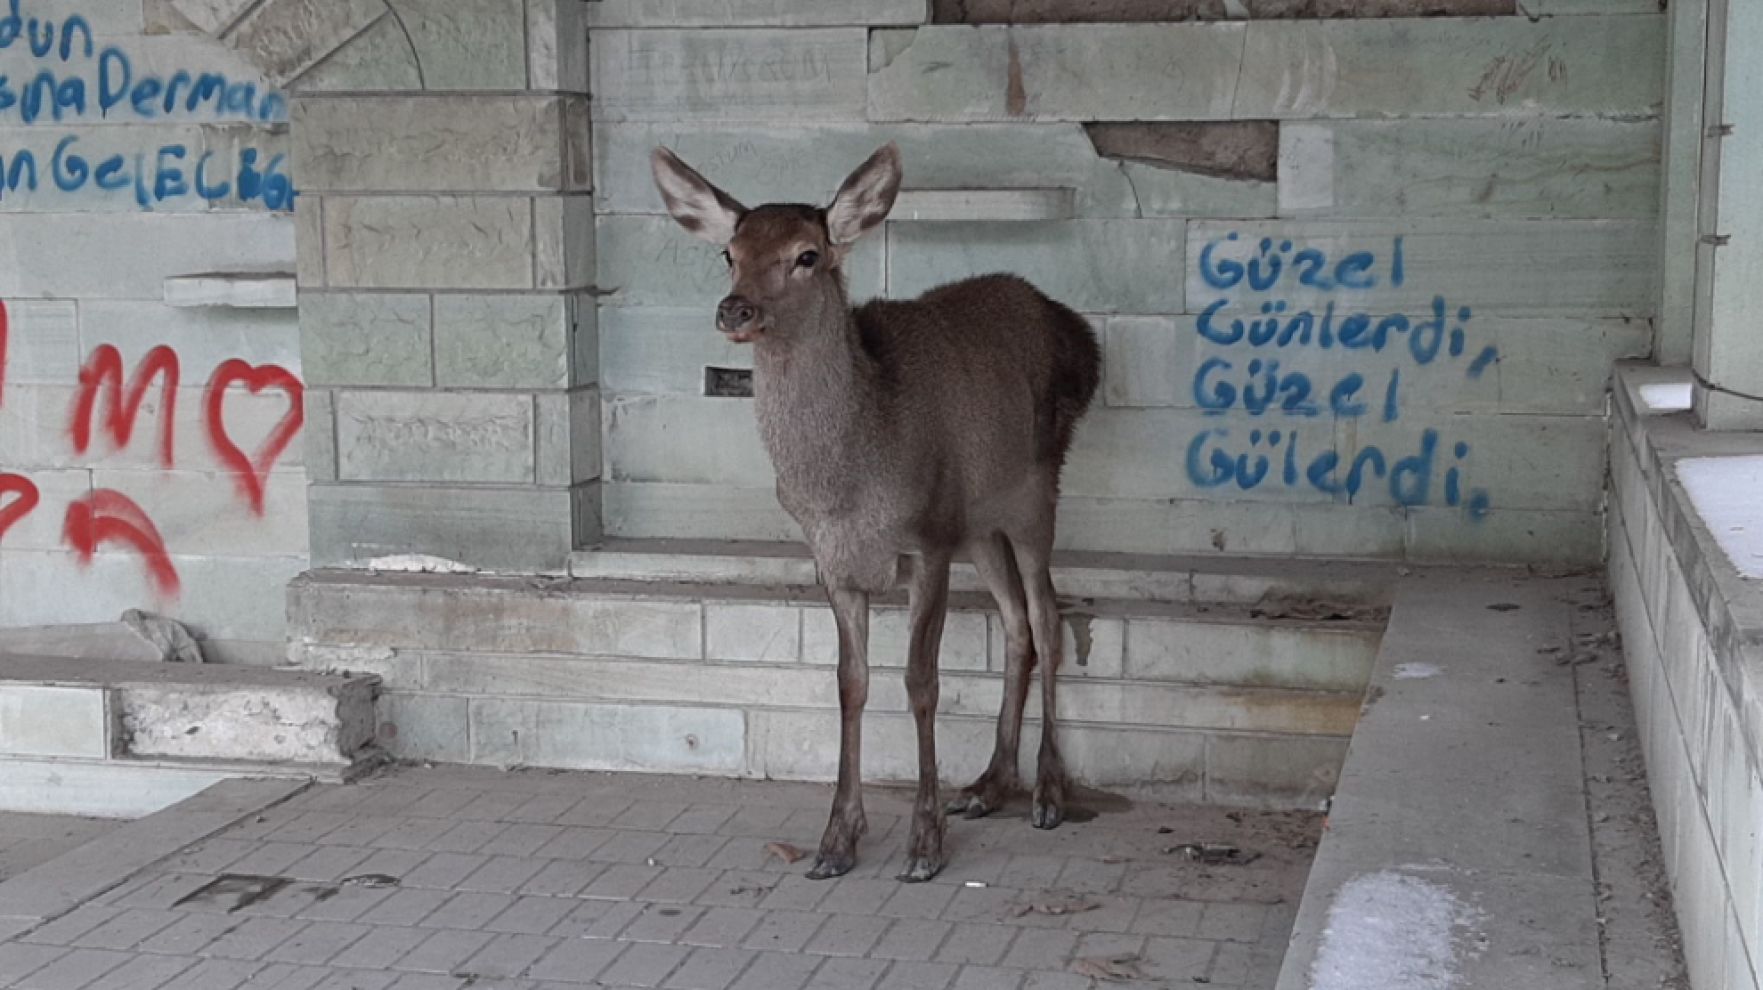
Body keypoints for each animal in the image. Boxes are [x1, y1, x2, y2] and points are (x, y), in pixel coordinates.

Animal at [659, 140, 1100, 877]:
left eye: (807, 254)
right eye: (729, 251)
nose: (735, 310)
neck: (848, 487)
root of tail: (1081, 333)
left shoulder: (927, 540)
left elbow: (920, 682)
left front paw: (923, 844)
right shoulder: (836, 562)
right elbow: (850, 683)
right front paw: (836, 840)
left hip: (1036, 490)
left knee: (1047, 618)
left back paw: (1045, 793)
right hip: (979, 522)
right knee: (1015, 624)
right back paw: (987, 784)